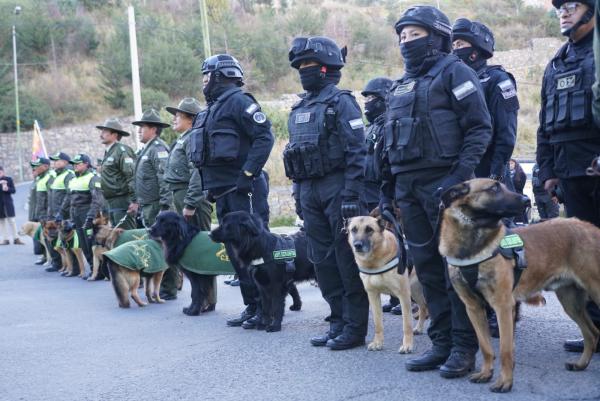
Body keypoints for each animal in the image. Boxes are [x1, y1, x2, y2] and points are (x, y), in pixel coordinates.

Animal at [344, 216, 428, 354]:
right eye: (354, 230)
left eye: (369, 229)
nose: (357, 245)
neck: (375, 261)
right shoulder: (373, 295)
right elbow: (378, 323)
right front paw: (378, 343)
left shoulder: (403, 295)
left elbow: (406, 324)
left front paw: (407, 345)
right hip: (415, 291)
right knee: (424, 307)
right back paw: (419, 328)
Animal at [436, 178, 600, 390]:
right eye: (494, 188)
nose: (527, 200)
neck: (473, 245)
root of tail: (591, 227)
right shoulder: (473, 308)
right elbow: (485, 346)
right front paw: (486, 373)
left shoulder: (503, 306)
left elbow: (505, 349)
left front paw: (505, 382)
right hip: (571, 303)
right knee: (592, 333)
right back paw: (581, 364)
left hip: (595, 290)